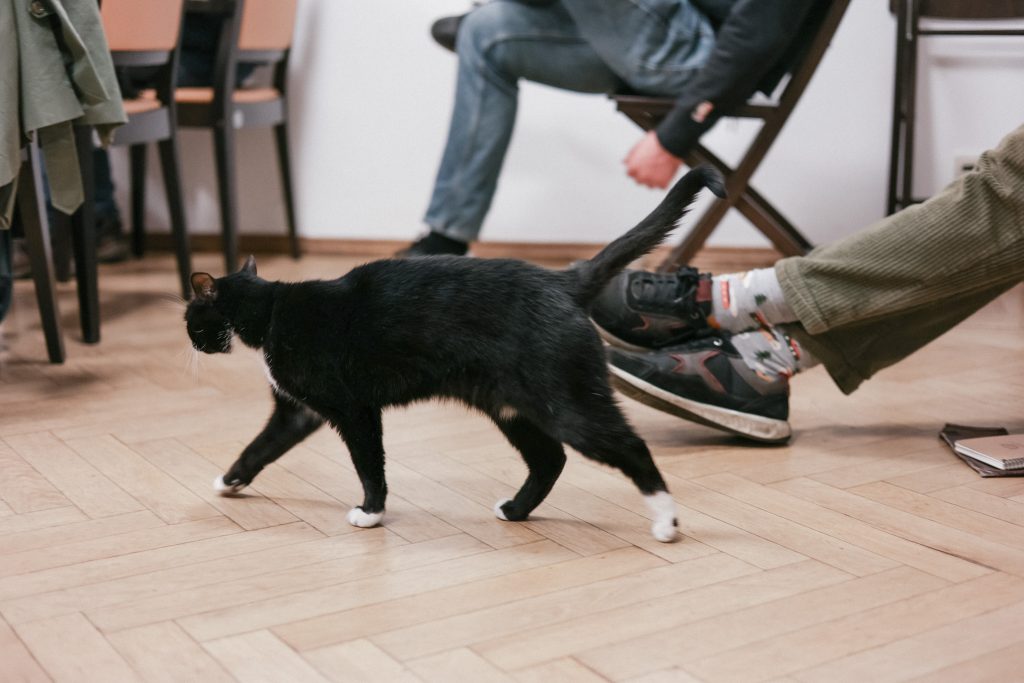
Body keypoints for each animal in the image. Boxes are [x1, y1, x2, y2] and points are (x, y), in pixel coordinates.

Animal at [185, 166, 724, 542]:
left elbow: (369, 464)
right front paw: (229, 481)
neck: (272, 310)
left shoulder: (355, 411)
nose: (190, 339)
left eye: (191, 317)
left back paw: (666, 521)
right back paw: (516, 510)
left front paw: (371, 512)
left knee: (629, 447)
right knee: (549, 459)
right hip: (511, 406)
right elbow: (259, 446)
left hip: (567, 403)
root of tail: (564, 280)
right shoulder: (298, 412)